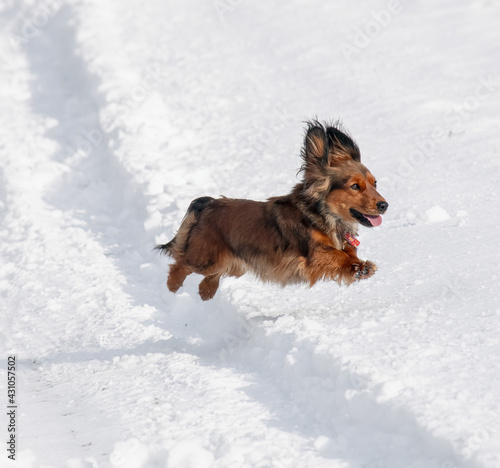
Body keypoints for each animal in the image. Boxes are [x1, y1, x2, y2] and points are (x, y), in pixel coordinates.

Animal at [156, 120, 386, 300]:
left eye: (375, 183)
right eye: (355, 186)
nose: (384, 205)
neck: (324, 216)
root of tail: (208, 204)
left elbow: (348, 252)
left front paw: (360, 266)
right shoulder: (312, 255)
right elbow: (337, 255)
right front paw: (358, 266)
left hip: (234, 266)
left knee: (209, 277)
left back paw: (206, 292)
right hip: (206, 258)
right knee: (180, 264)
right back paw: (171, 288)